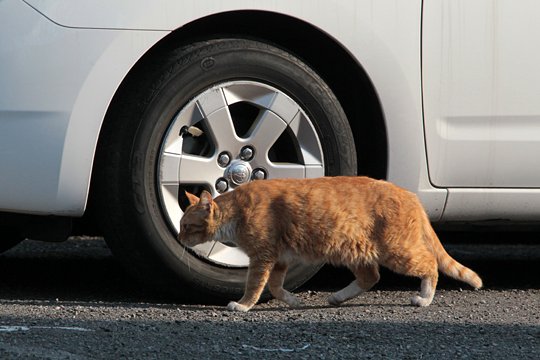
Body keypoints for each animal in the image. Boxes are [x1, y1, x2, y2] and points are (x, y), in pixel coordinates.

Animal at [179, 176, 484, 310]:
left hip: (398, 252)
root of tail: (410, 195)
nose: (179, 238)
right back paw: (338, 297)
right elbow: (276, 288)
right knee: (370, 277)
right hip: (355, 251)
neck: (238, 211)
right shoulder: (279, 260)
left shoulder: (263, 257)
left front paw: (243, 305)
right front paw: (293, 300)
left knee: (430, 265)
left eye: (186, 226)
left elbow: (254, 285)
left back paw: (424, 298)